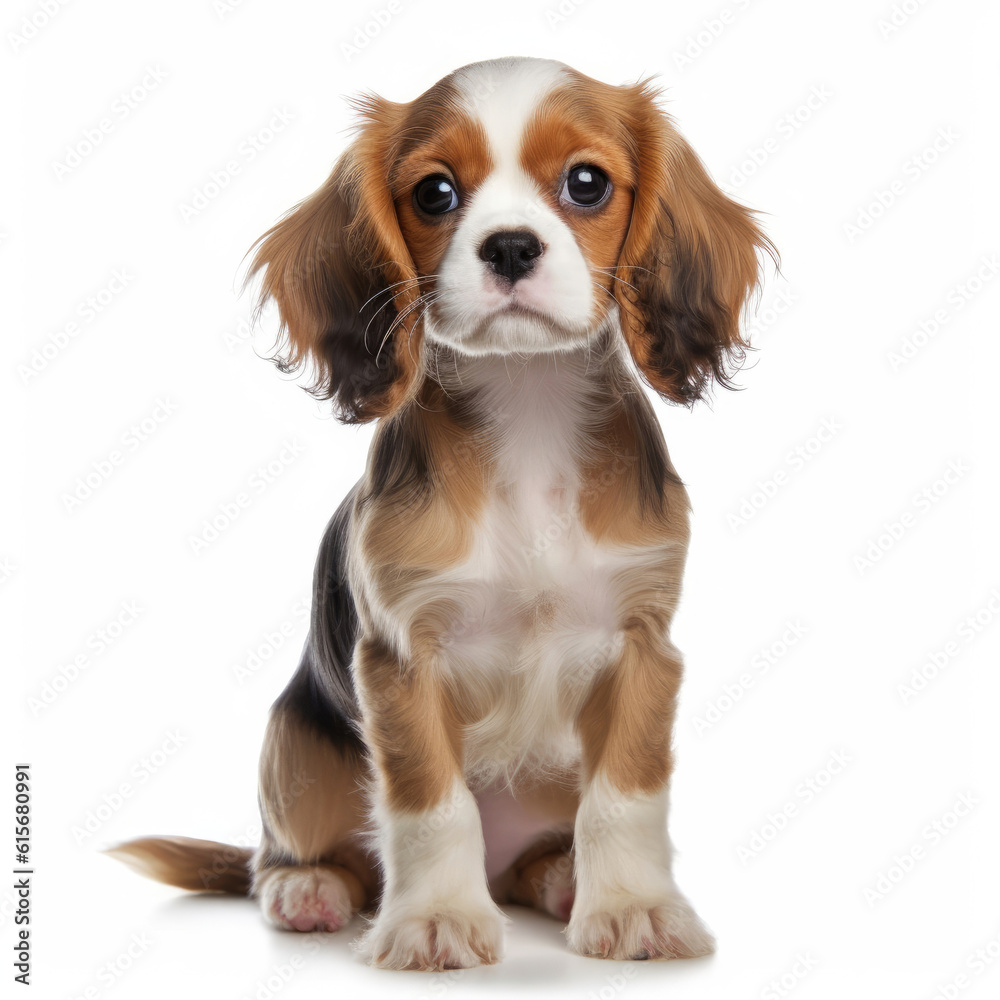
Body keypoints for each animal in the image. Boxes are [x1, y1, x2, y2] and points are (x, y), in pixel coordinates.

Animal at [108, 55, 774, 971]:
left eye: (588, 183)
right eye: (434, 194)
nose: (510, 246)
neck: (529, 414)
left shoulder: (643, 648)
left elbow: (626, 796)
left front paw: (635, 909)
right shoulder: (401, 660)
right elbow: (433, 807)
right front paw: (435, 922)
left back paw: (559, 878)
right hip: (294, 741)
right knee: (288, 858)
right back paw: (306, 889)